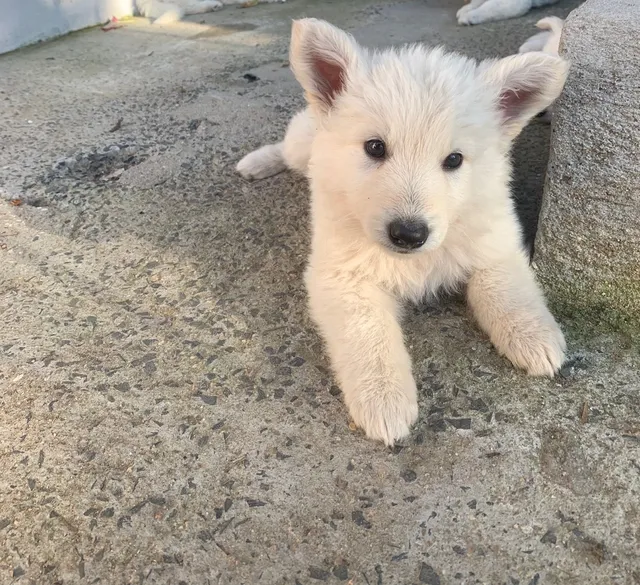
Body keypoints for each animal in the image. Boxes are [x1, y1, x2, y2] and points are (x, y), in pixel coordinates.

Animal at [238, 20, 568, 444]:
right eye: (375, 147)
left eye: (454, 159)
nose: (409, 234)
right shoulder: (341, 276)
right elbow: (368, 334)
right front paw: (384, 401)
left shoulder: (495, 246)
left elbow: (508, 291)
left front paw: (535, 338)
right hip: (301, 141)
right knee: (285, 147)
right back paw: (256, 162)